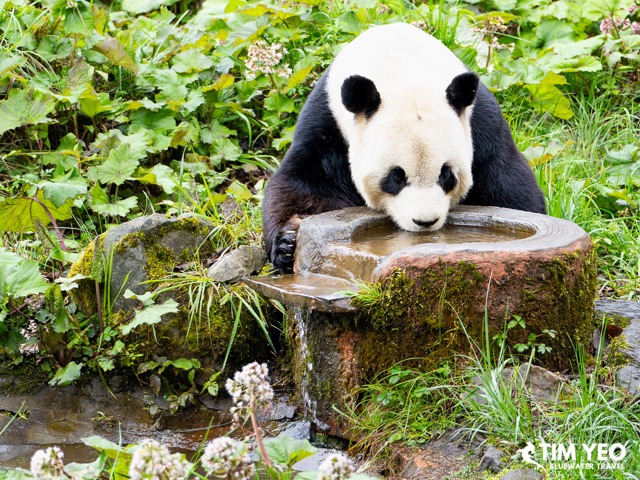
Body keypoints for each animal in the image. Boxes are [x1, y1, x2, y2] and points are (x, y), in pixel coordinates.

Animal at [262, 23, 546, 273]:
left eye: (446, 174)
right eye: (395, 177)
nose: (425, 222)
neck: (402, 73)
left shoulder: (482, 127)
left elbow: (512, 191)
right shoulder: (327, 126)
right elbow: (306, 188)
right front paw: (288, 241)